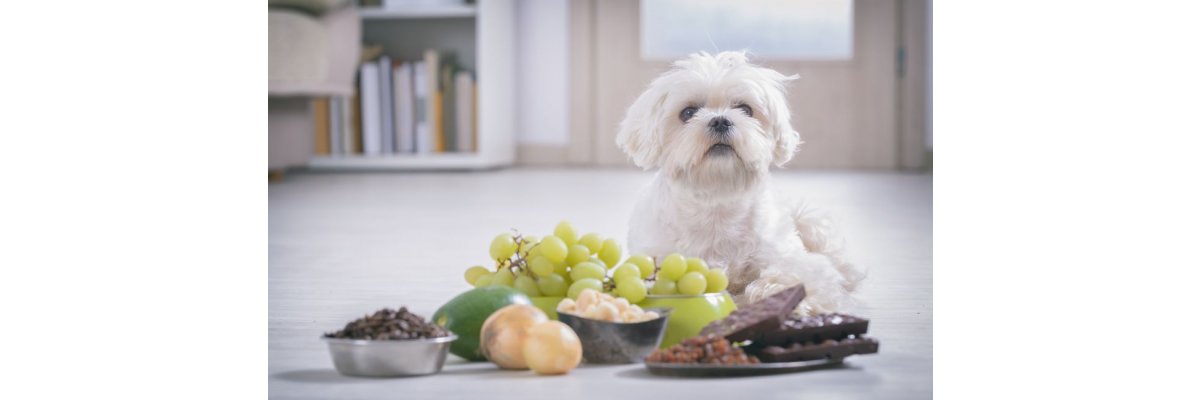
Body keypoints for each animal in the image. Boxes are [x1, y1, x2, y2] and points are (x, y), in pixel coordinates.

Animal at [619, 50, 864, 314]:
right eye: (688, 112)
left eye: (746, 109)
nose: (720, 120)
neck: (717, 199)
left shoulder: (793, 259)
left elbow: (796, 276)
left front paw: (777, 295)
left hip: (810, 223)